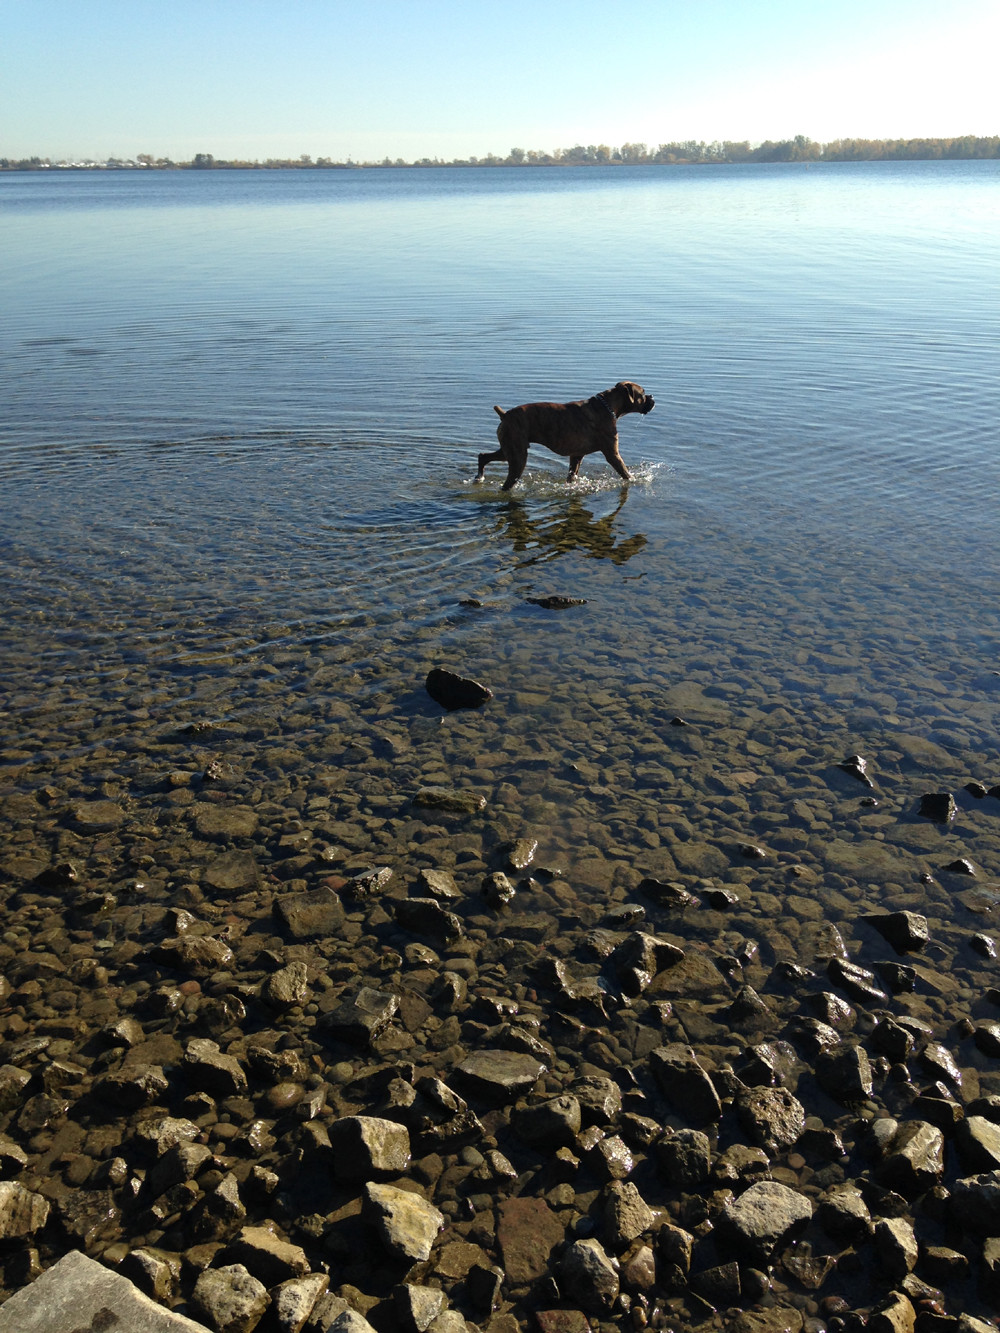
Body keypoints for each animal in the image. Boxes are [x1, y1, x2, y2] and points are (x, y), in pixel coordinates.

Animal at [477, 381, 658, 490]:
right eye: (643, 394)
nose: (652, 397)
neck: (607, 406)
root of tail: (505, 414)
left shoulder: (576, 456)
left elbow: (571, 475)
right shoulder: (613, 455)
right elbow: (625, 473)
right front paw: (634, 481)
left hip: (509, 450)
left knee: (483, 455)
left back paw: (479, 477)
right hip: (517, 457)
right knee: (506, 482)